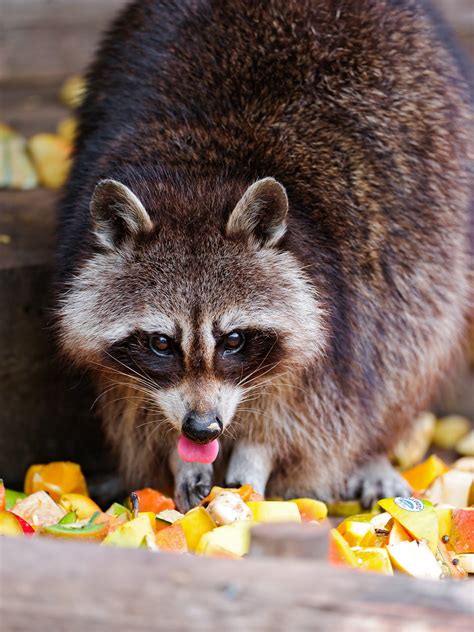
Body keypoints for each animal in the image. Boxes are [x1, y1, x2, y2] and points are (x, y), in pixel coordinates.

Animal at [54, 0, 470, 512]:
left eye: (233, 340)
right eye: (161, 343)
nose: (202, 428)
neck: (200, 175)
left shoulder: (343, 311)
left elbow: (316, 416)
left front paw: (258, 452)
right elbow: (133, 408)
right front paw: (177, 456)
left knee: (412, 339)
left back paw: (375, 449)